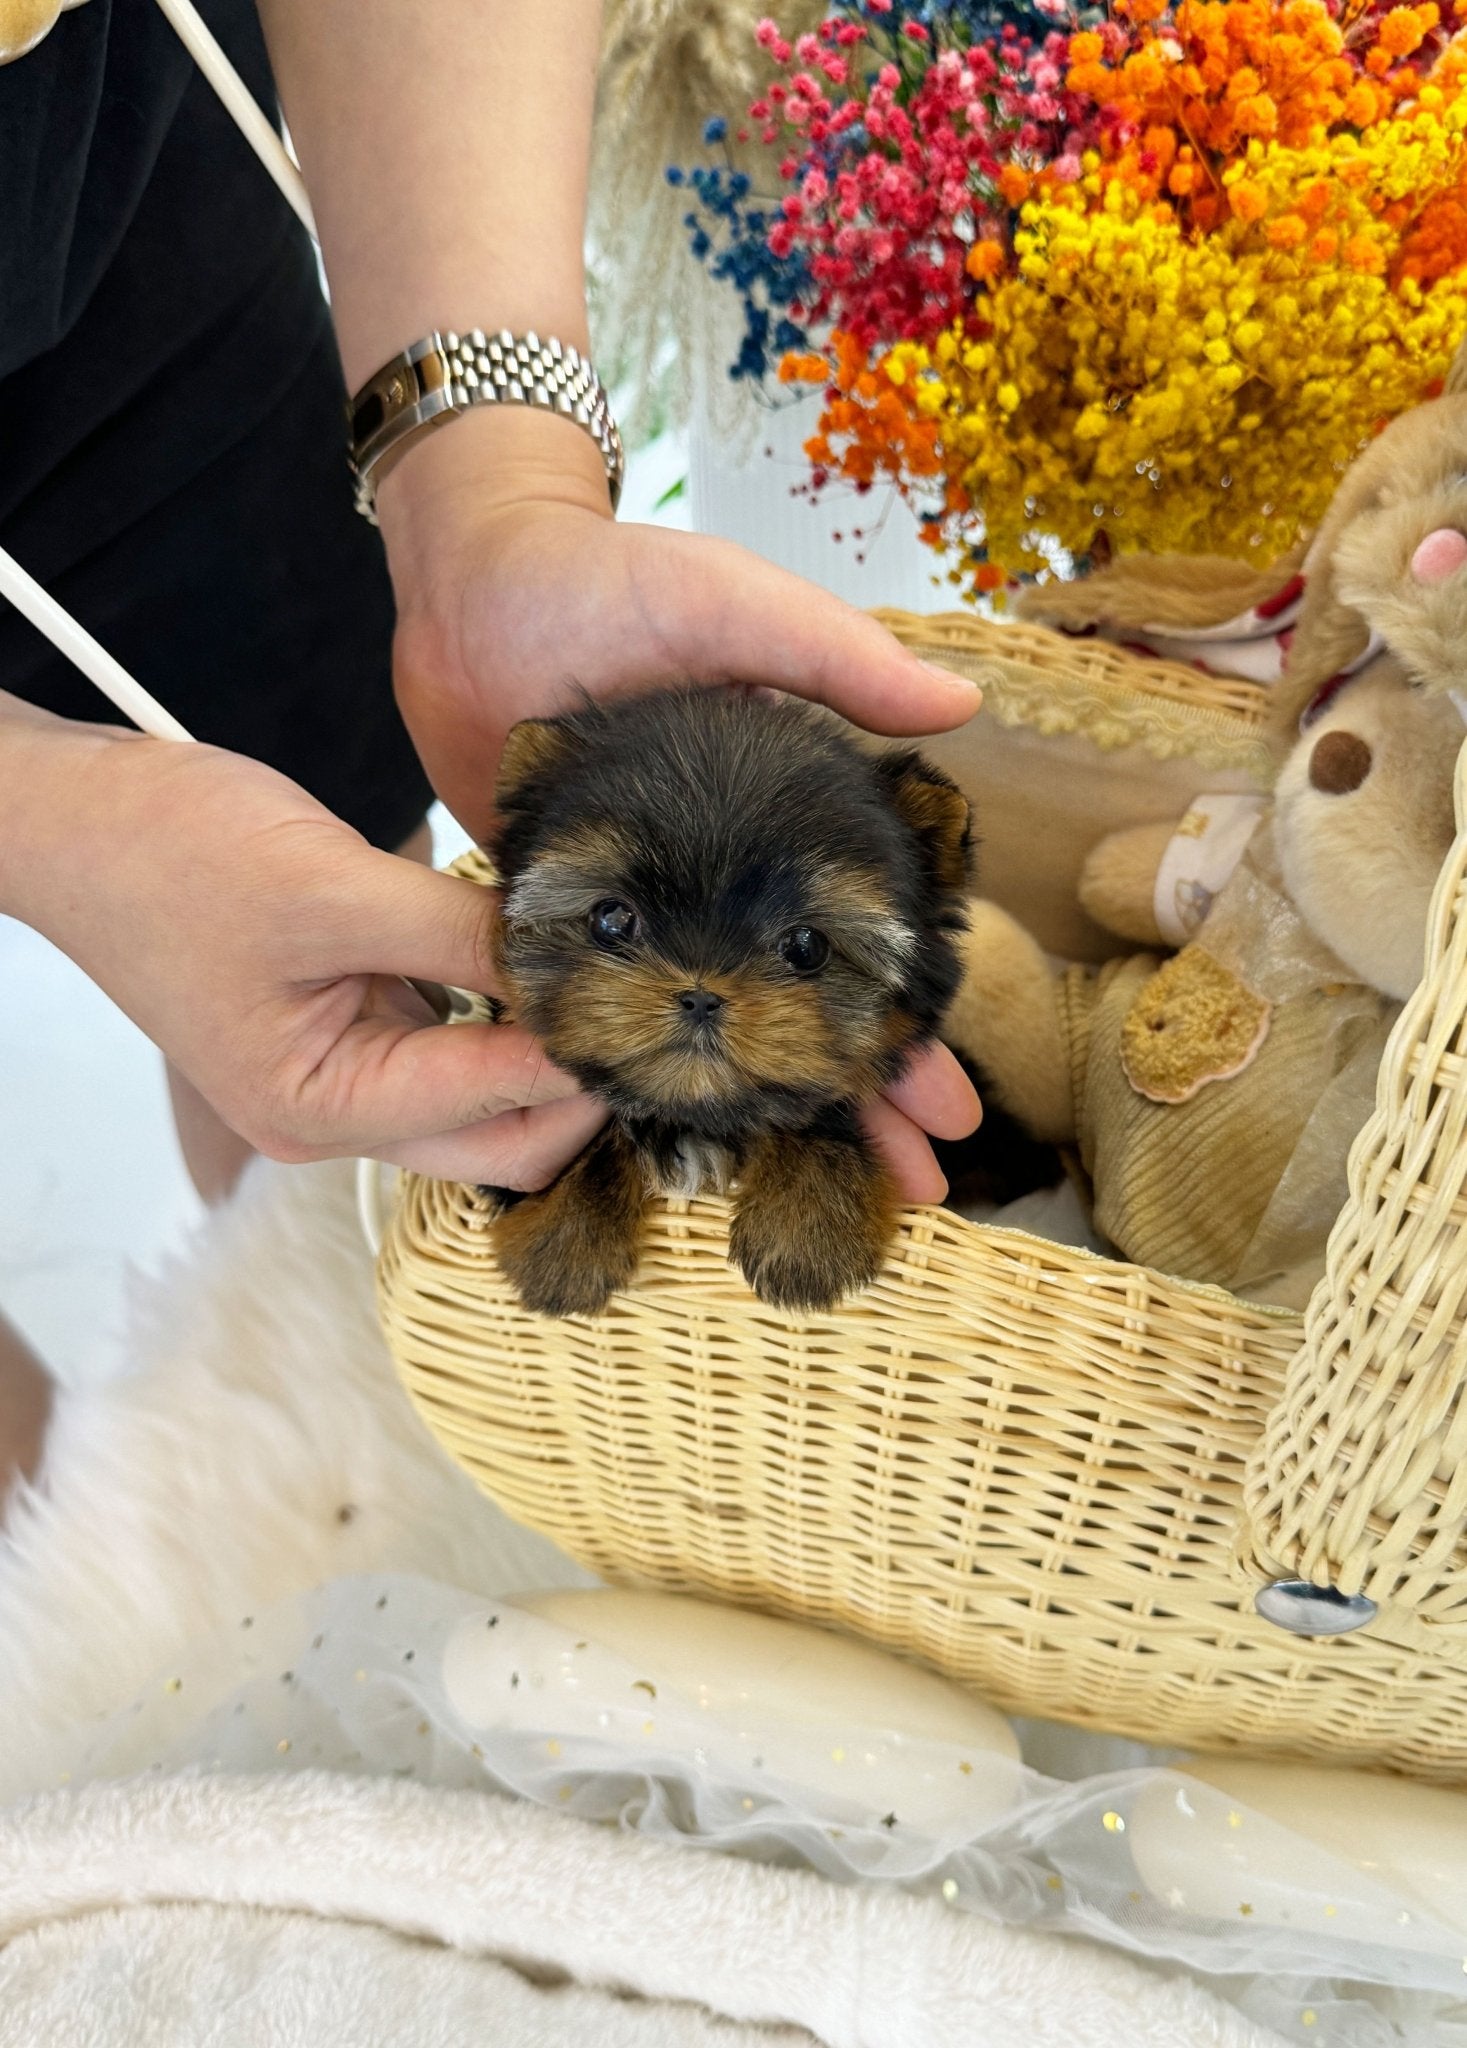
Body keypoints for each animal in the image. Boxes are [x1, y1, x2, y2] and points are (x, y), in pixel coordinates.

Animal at [481, 688, 979, 1318]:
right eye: (611, 918)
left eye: (806, 946)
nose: (700, 996)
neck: (700, 1114)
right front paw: (563, 1237)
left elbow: (815, 1108)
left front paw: (808, 1229)